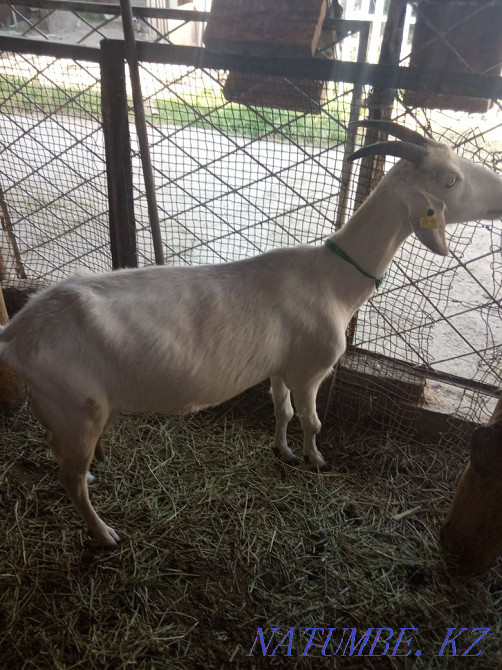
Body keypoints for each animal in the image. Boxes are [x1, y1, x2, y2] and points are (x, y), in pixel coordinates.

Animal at [1, 120, 502, 547]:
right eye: (450, 180)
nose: (498, 192)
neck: (333, 280)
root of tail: (15, 334)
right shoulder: (310, 370)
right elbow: (313, 420)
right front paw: (316, 459)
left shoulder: (280, 368)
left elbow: (282, 411)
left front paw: (284, 451)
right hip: (79, 406)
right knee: (68, 477)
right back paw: (104, 534)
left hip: (59, 407)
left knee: (60, 453)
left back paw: (93, 479)